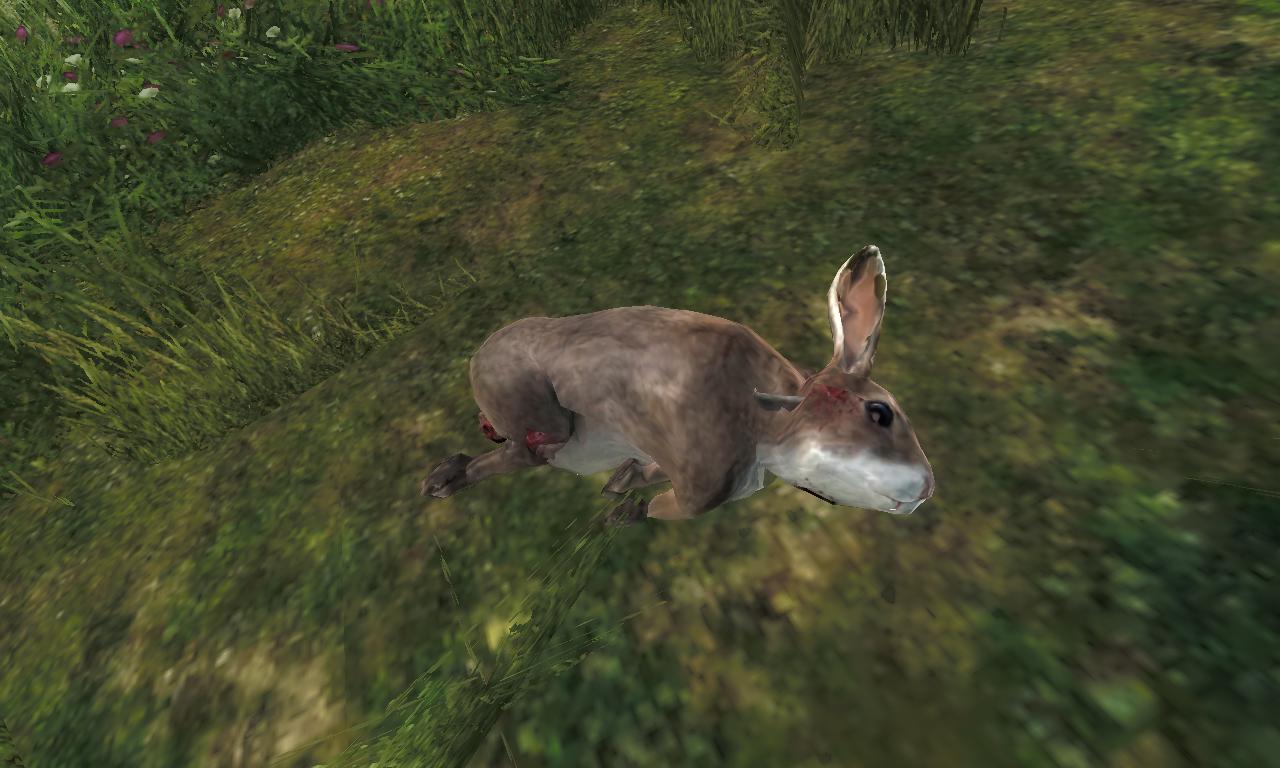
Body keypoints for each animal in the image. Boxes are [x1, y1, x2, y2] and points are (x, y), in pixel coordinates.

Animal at [421, 244, 934, 527]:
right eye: (880, 413)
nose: (928, 490)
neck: (768, 420)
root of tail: (477, 356)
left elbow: (643, 476)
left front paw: (620, 483)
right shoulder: (699, 487)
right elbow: (666, 508)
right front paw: (618, 513)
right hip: (539, 414)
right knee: (520, 453)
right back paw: (441, 483)